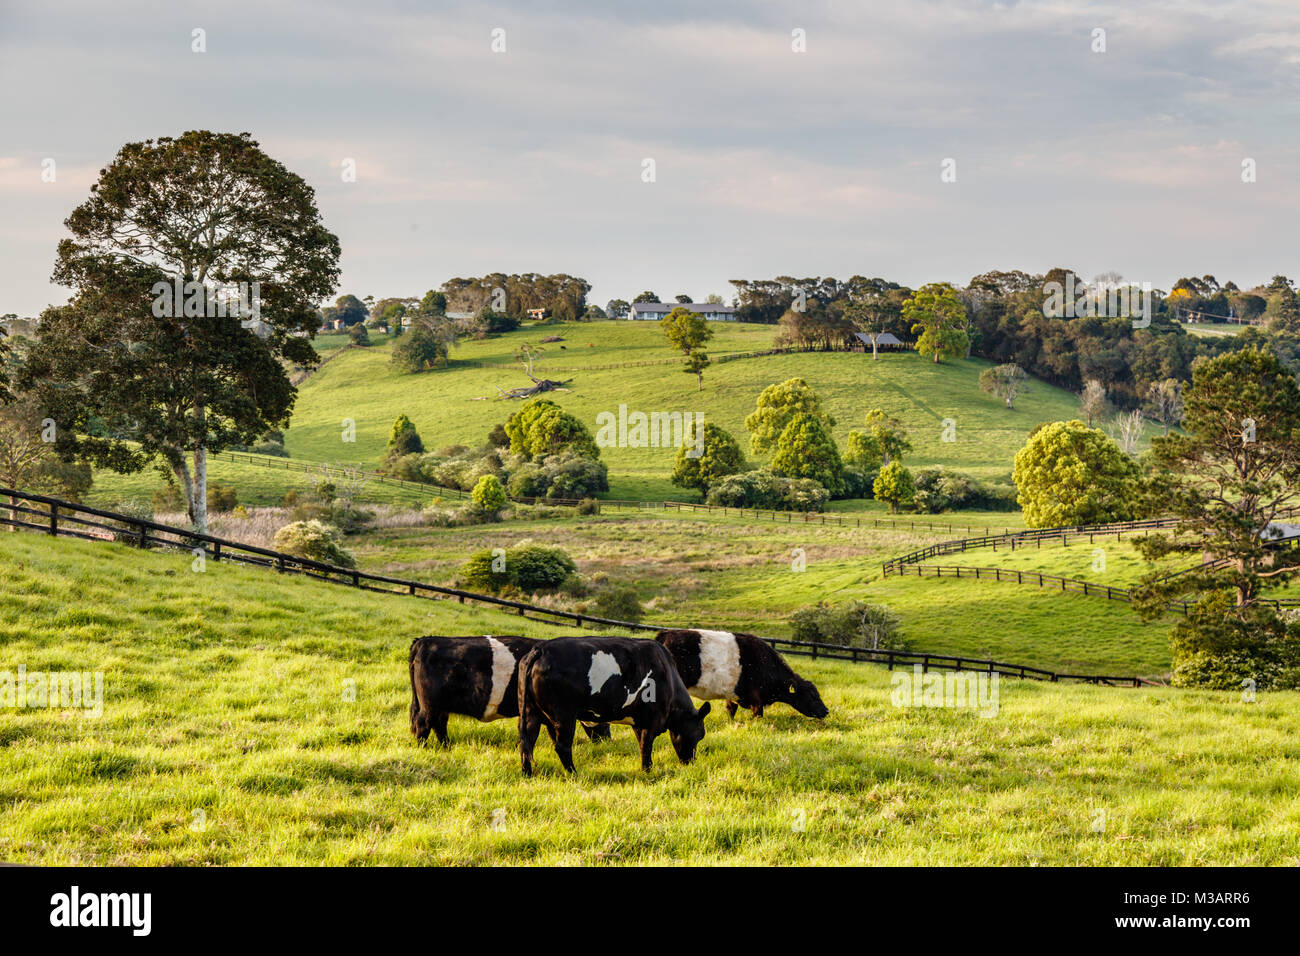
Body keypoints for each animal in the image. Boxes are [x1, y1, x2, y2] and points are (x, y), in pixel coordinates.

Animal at [408, 634, 611, 749]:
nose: (607, 740)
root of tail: (425, 640)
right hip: (430, 705)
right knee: (423, 724)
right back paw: (423, 748)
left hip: (439, 706)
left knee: (439, 725)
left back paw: (447, 747)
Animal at [514, 634, 707, 780]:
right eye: (699, 735)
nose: (690, 762)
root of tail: (541, 648)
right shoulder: (653, 720)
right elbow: (646, 746)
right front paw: (648, 771)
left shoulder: (639, 722)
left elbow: (642, 744)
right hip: (564, 715)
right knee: (562, 746)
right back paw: (574, 774)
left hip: (531, 712)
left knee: (527, 742)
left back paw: (527, 774)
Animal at [655, 629, 826, 717]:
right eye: (812, 695)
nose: (826, 711)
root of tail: (665, 633)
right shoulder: (757, 701)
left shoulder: (732, 695)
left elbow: (731, 710)